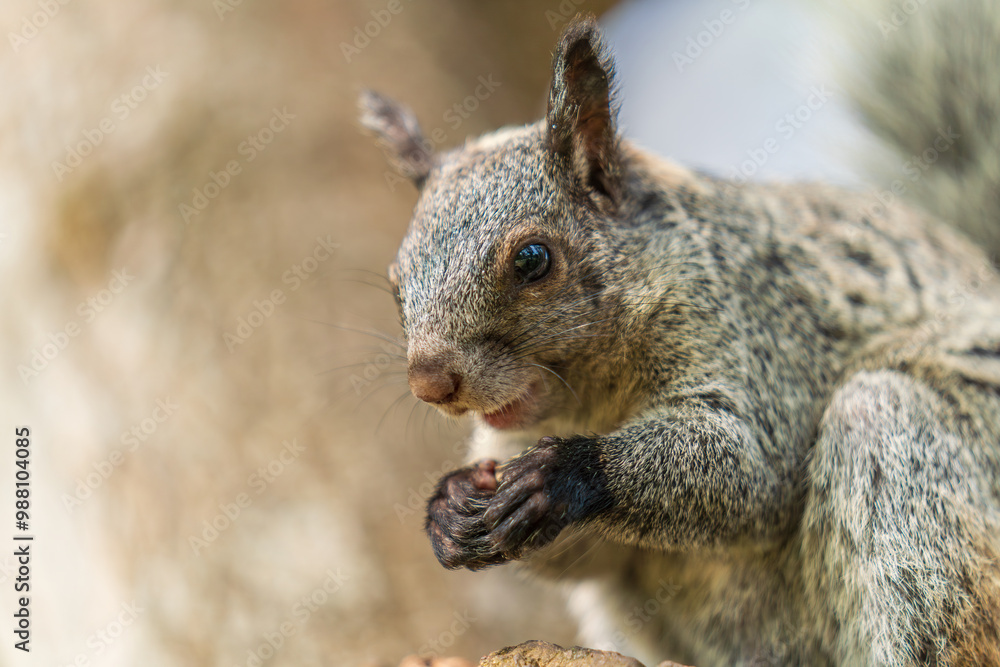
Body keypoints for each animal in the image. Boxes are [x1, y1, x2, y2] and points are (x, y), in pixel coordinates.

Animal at [359, 3, 1000, 665]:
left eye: (534, 260)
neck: (594, 398)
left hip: (912, 461)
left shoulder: (760, 335)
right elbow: (589, 557)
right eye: (396, 284)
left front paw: (560, 475)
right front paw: (448, 506)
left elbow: (749, 468)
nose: (431, 382)